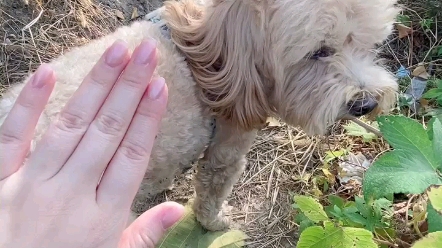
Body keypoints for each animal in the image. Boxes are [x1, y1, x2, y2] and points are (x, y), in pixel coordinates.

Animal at [0, 0, 400, 231]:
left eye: (368, 43)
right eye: (319, 52)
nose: (365, 103)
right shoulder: (227, 147)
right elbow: (212, 188)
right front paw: (214, 223)